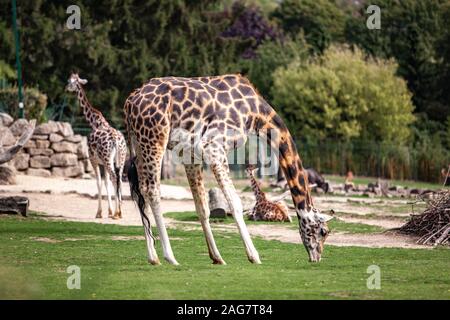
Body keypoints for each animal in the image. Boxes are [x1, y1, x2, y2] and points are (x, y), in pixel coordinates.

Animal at [66, 74, 127, 220]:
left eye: (69, 81)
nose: (66, 88)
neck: (94, 122)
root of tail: (116, 140)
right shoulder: (103, 162)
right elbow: (106, 183)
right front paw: (110, 211)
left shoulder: (94, 160)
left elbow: (99, 183)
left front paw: (100, 213)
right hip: (120, 159)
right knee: (119, 179)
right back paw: (119, 213)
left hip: (107, 159)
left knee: (115, 178)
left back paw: (117, 213)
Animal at [124, 74, 334, 264]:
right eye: (323, 231)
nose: (316, 257)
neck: (256, 114)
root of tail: (129, 102)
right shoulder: (214, 147)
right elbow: (235, 202)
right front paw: (254, 256)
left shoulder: (191, 153)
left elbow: (202, 207)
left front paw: (217, 257)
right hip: (155, 138)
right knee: (151, 190)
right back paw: (170, 257)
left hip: (138, 143)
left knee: (139, 191)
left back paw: (153, 257)